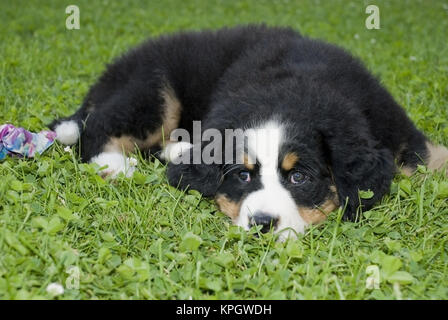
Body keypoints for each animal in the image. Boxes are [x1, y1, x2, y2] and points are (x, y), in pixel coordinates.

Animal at [50, 24, 448, 240]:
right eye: (242, 175)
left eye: (299, 178)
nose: (262, 225)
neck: (295, 85)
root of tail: (112, 72)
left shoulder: (395, 127)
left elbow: (430, 155)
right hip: (154, 89)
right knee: (97, 127)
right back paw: (117, 166)